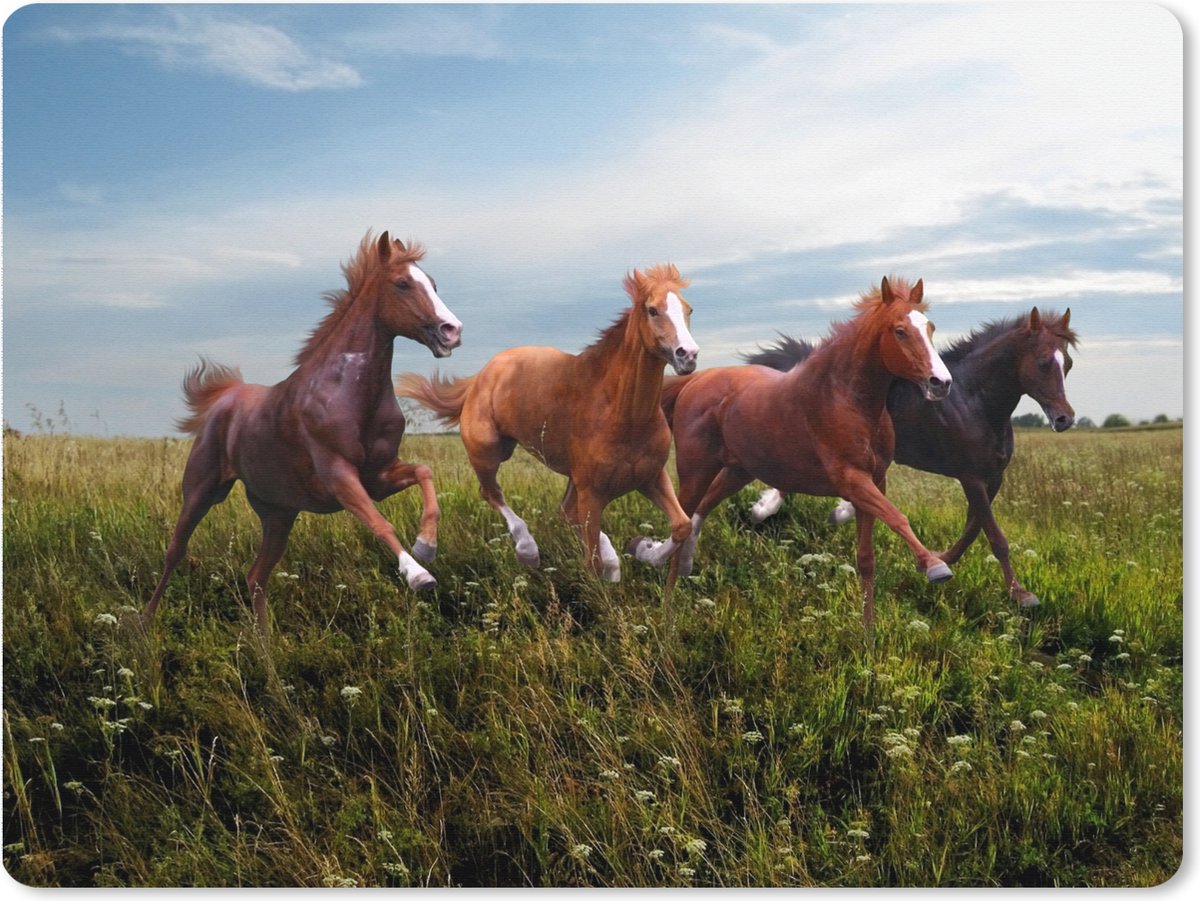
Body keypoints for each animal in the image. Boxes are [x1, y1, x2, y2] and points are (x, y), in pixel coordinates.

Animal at [143, 232, 463, 631]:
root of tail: (226, 397)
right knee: (175, 552)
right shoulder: (339, 475)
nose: (452, 331)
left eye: (433, 284)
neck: (349, 394)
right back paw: (143, 626)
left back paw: (266, 645)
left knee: (256, 577)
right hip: (201, 493)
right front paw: (419, 574)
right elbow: (381, 524)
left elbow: (424, 473)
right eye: (402, 283)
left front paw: (426, 546)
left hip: (278, 514)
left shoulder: (378, 477)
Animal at [396, 264, 698, 583]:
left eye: (689, 309)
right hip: (489, 452)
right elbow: (591, 562)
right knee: (492, 493)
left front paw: (643, 549)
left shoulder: (650, 477)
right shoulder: (592, 491)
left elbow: (682, 525)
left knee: (565, 512)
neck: (623, 414)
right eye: (653, 310)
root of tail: (481, 376)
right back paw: (525, 550)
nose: (688, 355)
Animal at [631, 276, 952, 630]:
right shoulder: (852, 480)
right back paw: (667, 615)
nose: (941, 383)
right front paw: (935, 566)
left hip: (738, 471)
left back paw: (677, 561)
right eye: (900, 331)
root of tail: (695, 381)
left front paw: (868, 634)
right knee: (683, 520)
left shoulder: (875, 481)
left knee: (699, 512)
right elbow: (897, 517)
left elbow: (867, 558)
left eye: (930, 327)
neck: (844, 398)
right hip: (696, 470)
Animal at [743, 307, 1077, 607]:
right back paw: (764, 509)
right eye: (1043, 362)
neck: (975, 402)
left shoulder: (993, 478)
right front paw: (1021, 595)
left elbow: (973, 528)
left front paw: (938, 560)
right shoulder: (971, 477)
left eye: (1069, 364)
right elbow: (995, 536)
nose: (1064, 419)